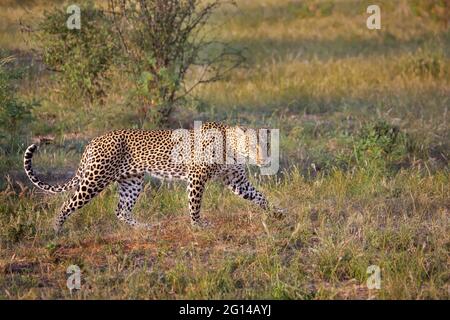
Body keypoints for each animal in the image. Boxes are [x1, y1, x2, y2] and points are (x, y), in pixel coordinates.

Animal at [22, 122, 284, 232]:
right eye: (252, 146)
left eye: (266, 145)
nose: (264, 159)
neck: (230, 148)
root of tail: (93, 141)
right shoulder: (196, 177)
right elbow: (195, 204)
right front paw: (198, 225)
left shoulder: (236, 181)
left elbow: (259, 196)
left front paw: (277, 213)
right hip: (95, 179)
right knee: (67, 203)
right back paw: (56, 230)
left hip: (132, 181)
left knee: (121, 210)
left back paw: (144, 227)